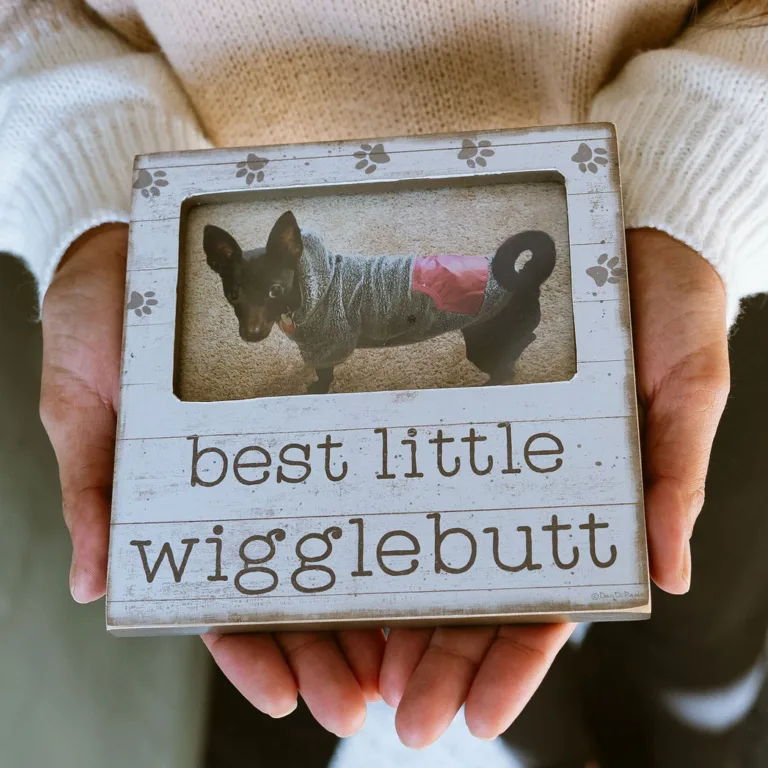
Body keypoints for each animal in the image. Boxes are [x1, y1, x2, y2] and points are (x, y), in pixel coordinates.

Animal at [204, 210, 552, 392]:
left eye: (275, 290)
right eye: (233, 295)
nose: (251, 334)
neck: (308, 290)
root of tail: (524, 276)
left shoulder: (329, 346)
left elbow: (324, 374)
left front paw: (316, 388)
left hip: (484, 342)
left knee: (506, 368)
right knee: (528, 339)